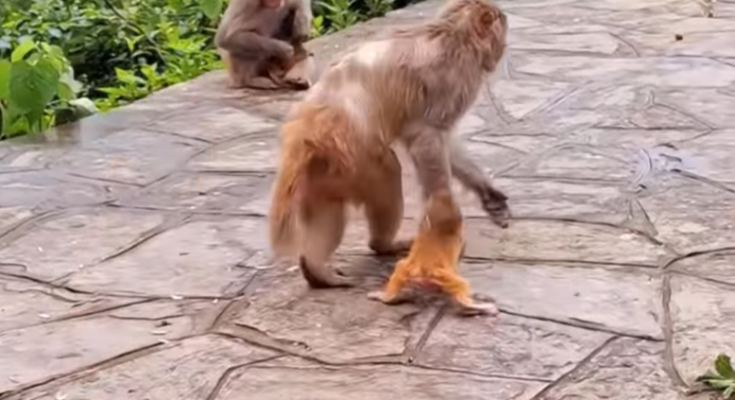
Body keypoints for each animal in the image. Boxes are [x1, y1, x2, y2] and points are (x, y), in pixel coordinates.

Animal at [268, 0, 510, 290]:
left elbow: (444, 142)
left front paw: (488, 193)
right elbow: (426, 139)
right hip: (352, 151)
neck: (454, 34)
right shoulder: (450, 80)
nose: (504, 41)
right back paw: (382, 244)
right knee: (387, 172)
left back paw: (315, 269)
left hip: (323, 167)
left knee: (328, 205)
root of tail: (304, 129)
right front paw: (445, 219)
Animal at [367, 188, 499, 315]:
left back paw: (385, 297)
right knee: (461, 284)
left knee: (400, 266)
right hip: (440, 275)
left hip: (410, 270)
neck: (441, 227)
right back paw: (474, 306)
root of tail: (424, 267)